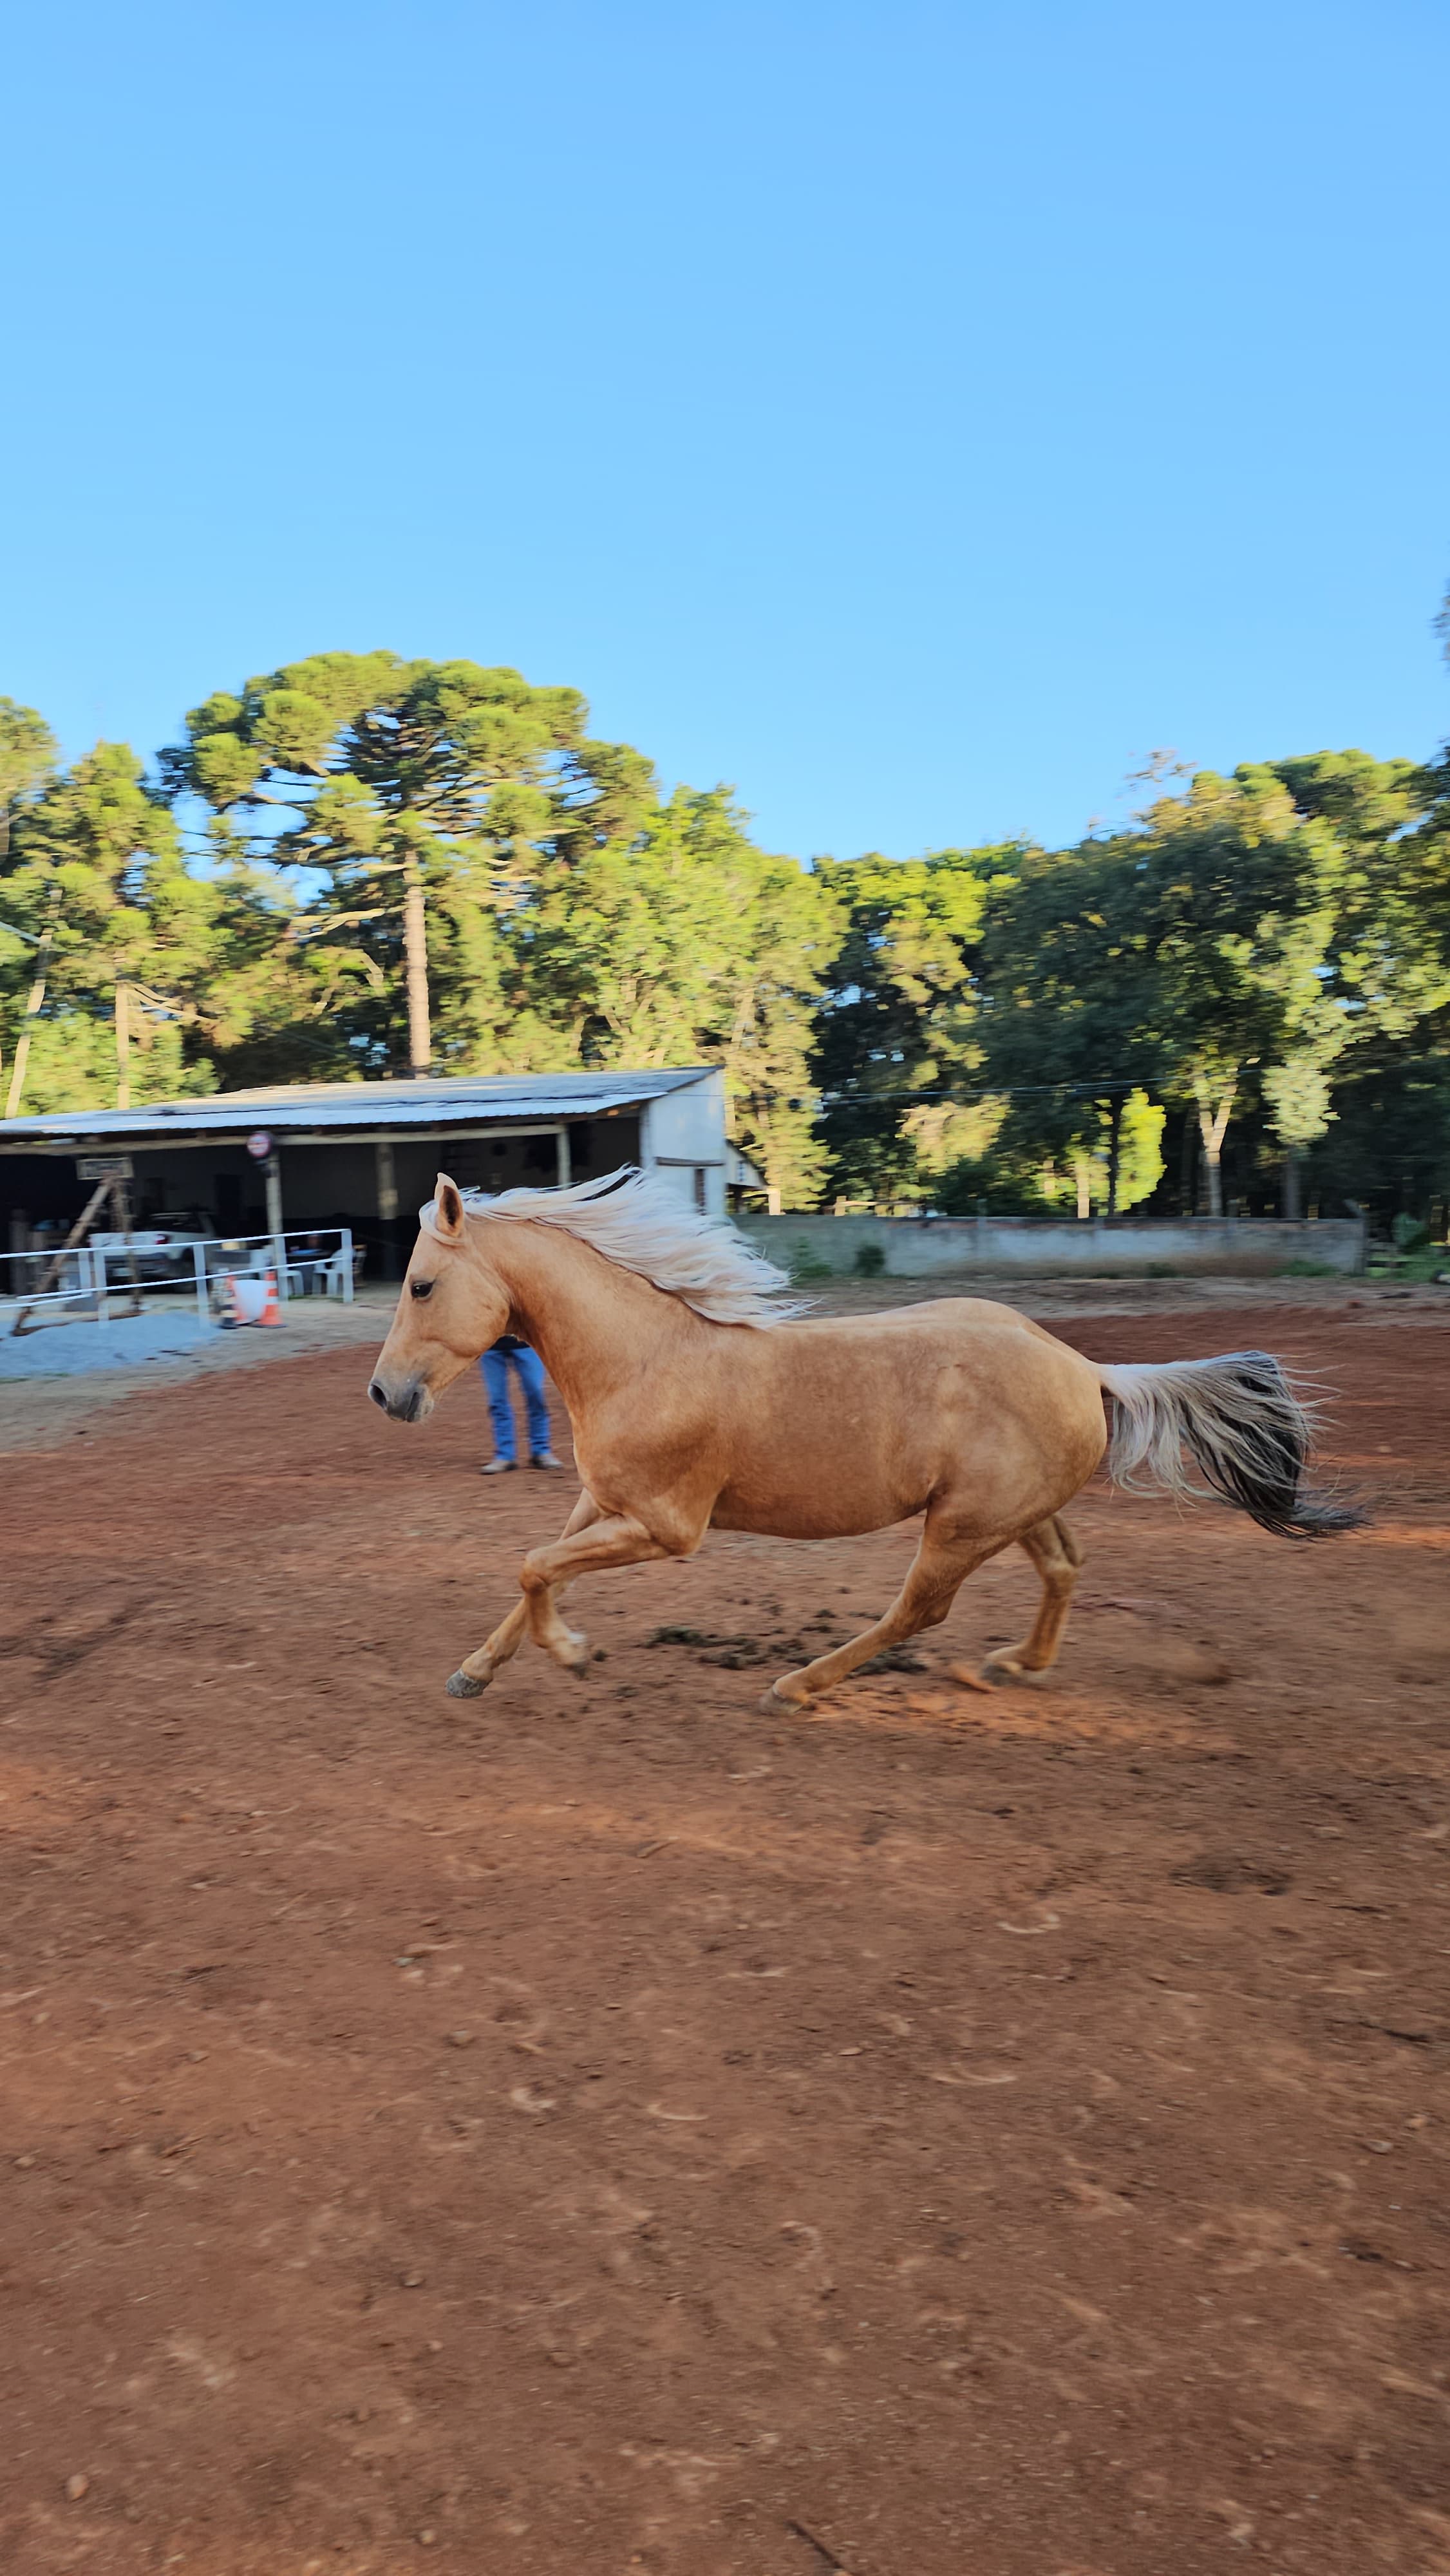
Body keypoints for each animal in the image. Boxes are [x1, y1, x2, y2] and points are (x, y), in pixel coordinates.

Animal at [367, 1167, 1358, 1711]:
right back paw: (1017, 1666)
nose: (384, 1392)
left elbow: (535, 1568)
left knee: (918, 1611)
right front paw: (475, 1673)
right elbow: (536, 1571)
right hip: (1007, 1513)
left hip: (958, 1527)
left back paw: (797, 1687)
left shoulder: (665, 1528)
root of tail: (1085, 1368)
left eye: (420, 1284)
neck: (645, 1356)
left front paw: (572, 1653)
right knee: (1063, 1566)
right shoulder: (601, 1504)